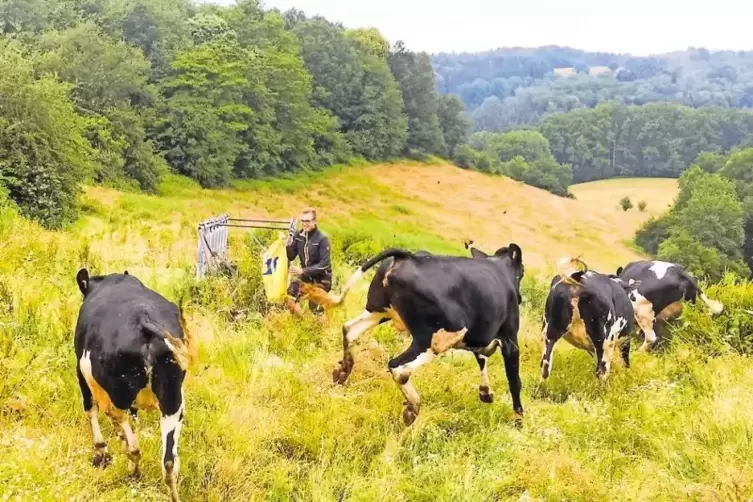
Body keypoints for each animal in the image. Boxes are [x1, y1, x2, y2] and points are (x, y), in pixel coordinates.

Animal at [74, 268, 194, 502]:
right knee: (168, 461)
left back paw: (132, 465)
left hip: (117, 392)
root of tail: (144, 323)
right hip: (173, 402)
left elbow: (90, 409)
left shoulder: (82, 373)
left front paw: (101, 452)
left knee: (124, 429)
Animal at [302, 243, 524, 428]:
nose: (520, 298)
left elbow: (481, 358)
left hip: (379, 311)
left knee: (349, 329)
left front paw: (486, 393)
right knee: (399, 367)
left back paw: (342, 373)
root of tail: (407, 256)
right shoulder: (510, 340)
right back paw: (412, 408)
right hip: (436, 338)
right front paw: (519, 419)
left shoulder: (478, 338)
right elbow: (514, 380)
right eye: (522, 273)